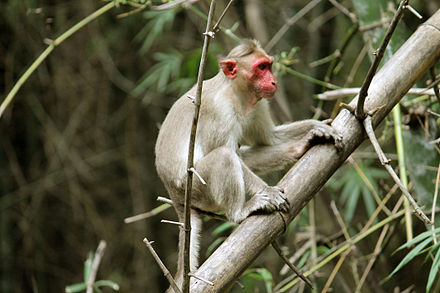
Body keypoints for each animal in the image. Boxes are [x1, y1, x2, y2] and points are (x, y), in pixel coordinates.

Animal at [155, 39, 344, 290]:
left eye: (269, 65)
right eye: (260, 67)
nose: (273, 81)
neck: (236, 93)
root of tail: (175, 197)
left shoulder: (258, 103)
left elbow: (270, 139)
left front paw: (314, 129)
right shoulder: (218, 112)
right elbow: (223, 151)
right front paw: (268, 192)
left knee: (242, 155)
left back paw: (299, 147)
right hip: (192, 188)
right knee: (225, 156)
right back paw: (240, 212)